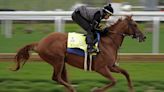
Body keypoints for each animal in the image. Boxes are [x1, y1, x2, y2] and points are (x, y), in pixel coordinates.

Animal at [12, 15, 146, 91]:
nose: (143, 37)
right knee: (56, 77)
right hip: (57, 60)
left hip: (62, 62)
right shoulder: (101, 68)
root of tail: (39, 43)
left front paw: (131, 88)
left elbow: (126, 73)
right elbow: (113, 81)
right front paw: (95, 89)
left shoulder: (111, 66)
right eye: (135, 24)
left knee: (62, 78)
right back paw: (72, 89)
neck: (109, 42)